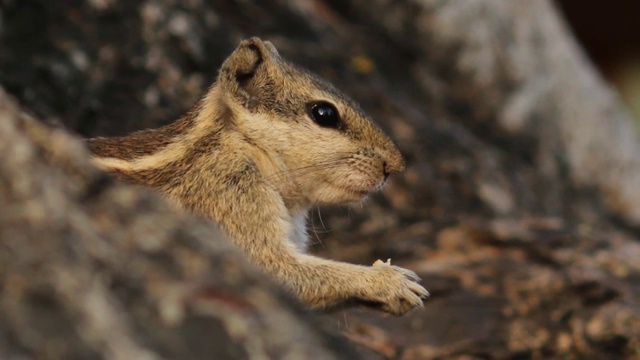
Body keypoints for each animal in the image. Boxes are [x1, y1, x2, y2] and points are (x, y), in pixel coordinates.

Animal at [87, 35, 428, 314]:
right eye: (324, 113)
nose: (396, 166)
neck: (243, 147)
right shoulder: (229, 201)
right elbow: (277, 271)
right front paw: (390, 281)